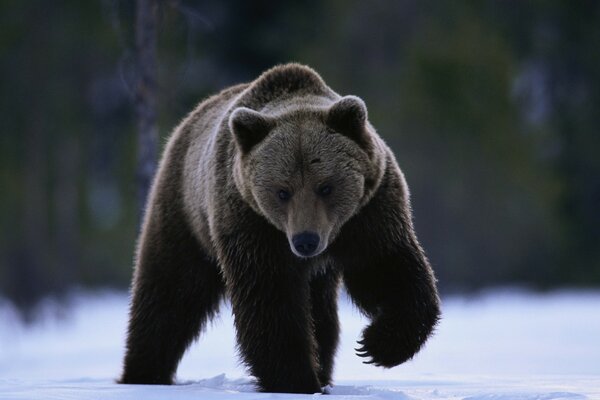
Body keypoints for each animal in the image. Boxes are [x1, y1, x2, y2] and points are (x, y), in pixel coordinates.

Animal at [120, 63, 440, 394]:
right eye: (282, 191)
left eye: (325, 186)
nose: (305, 241)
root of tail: (186, 123)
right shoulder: (251, 222)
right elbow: (270, 299)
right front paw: (296, 380)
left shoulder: (370, 212)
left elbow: (387, 268)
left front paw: (377, 344)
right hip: (185, 214)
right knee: (170, 293)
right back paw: (144, 372)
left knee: (322, 315)